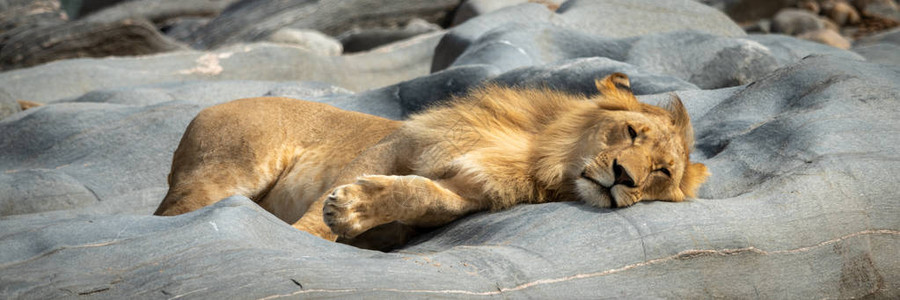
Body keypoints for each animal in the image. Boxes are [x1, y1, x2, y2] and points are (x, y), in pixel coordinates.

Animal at [155, 73, 712, 248]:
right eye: (632, 132)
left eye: (662, 172)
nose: (623, 177)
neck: (538, 155)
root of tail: (206, 108)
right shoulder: (400, 144)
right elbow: (324, 205)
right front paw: (316, 231)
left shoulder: (467, 193)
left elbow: (418, 192)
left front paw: (356, 211)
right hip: (229, 172)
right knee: (171, 216)